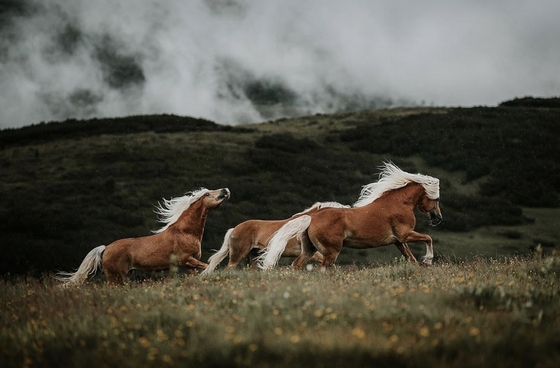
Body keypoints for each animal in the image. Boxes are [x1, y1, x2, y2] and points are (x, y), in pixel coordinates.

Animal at [55, 187, 231, 284]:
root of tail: (105, 248)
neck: (185, 232)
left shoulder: (190, 265)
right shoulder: (187, 260)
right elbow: (209, 266)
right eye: (207, 194)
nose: (225, 190)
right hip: (115, 277)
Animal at [260, 163, 444, 270]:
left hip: (309, 249)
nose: (438, 218)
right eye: (436, 199)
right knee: (324, 269)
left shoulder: (398, 241)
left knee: (297, 265)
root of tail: (312, 217)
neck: (399, 203)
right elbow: (428, 238)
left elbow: (411, 259)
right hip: (331, 251)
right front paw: (428, 260)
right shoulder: (405, 234)